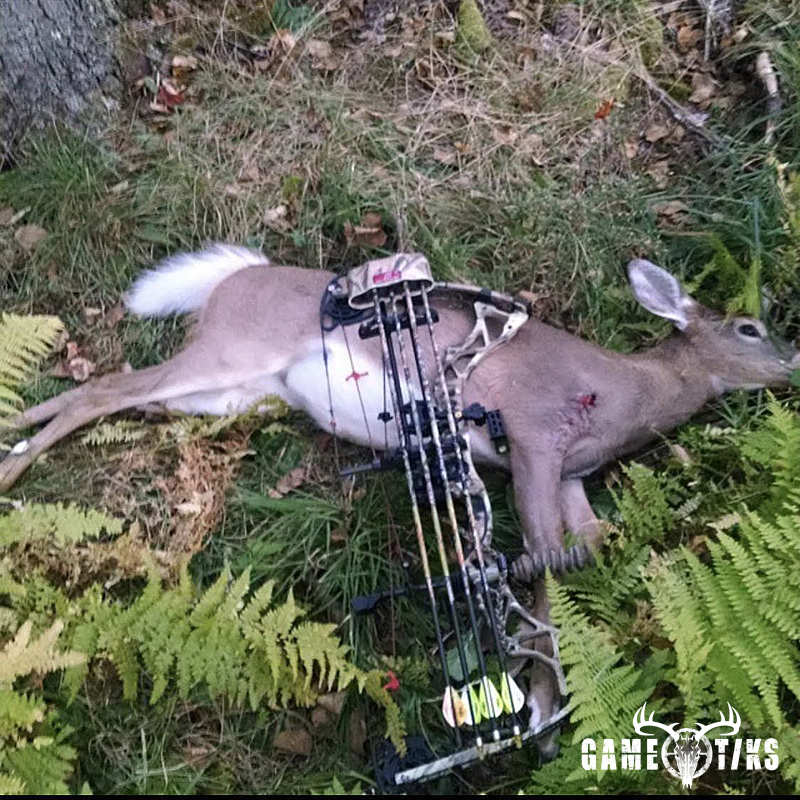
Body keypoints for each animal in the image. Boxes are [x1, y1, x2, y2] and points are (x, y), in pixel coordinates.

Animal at [1, 245, 798, 753]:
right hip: (229, 354)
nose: (793, 361)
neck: (626, 395)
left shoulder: (572, 474)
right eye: (750, 327)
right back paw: (12, 470)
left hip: (229, 394)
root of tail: (233, 278)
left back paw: (13, 437)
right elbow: (539, 566)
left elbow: (583, 550)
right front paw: (539, 705)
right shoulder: (533, 436)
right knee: (106, 388)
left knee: (106, 393)